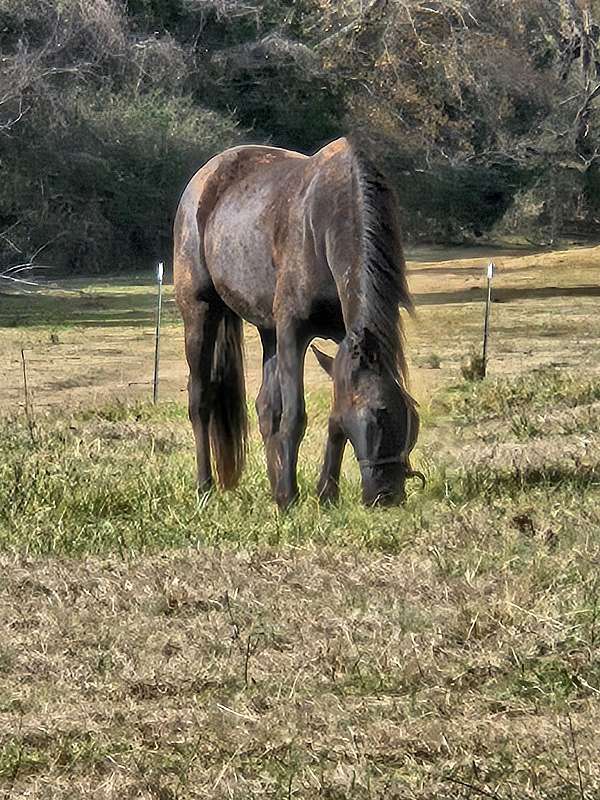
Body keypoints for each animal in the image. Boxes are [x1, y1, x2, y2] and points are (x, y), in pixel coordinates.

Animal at [173, 135, 422, 506]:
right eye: (379, 412)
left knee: (265, 409)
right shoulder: (293, 332)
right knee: (200, 399)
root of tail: (204, 178)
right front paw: (291, 496)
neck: (326, 224)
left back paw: (273, 485)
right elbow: (294, 416)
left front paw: (325, 492)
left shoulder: (340, 339)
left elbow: (331, 417)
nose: (386, 495)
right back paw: (206, 486)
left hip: (268, 332)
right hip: (200, 313)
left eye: (409, 413)